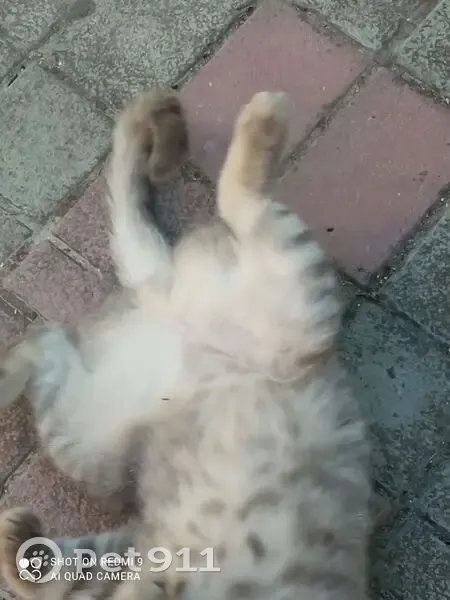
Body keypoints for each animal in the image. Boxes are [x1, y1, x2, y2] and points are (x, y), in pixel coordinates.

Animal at [0, 88, 371, 600]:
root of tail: (166, 295)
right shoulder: (136, 552)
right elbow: (74, 572)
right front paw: (25, 552)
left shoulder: (138, 557)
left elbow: (74, 573)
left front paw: (23, 550)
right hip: (89, 439)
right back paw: (264, 119)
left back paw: (263, 118)